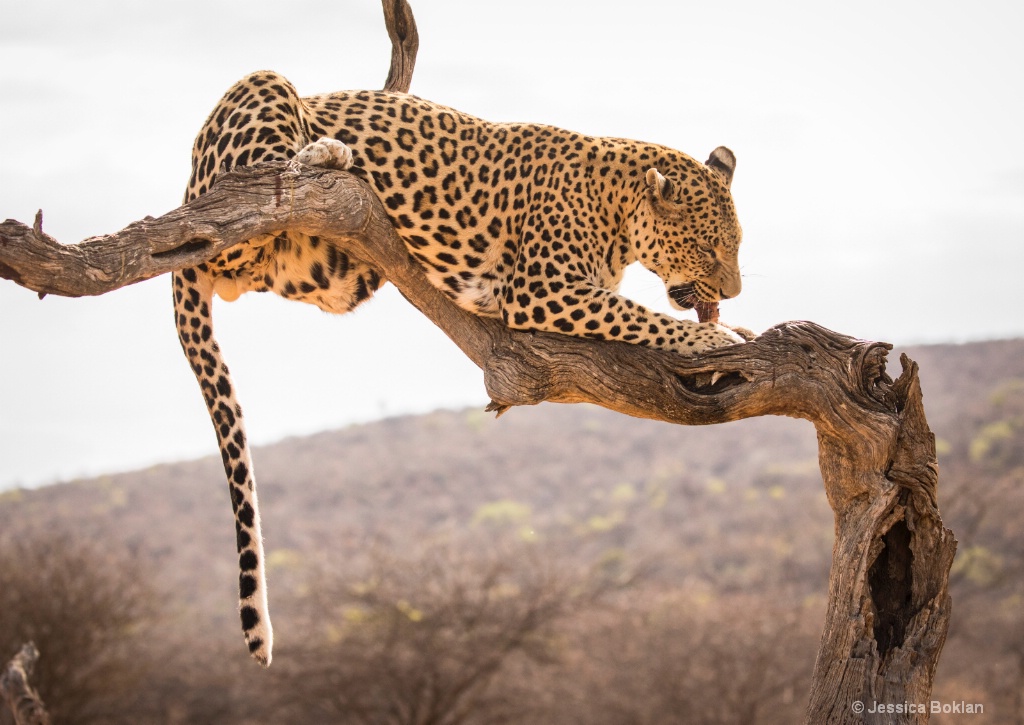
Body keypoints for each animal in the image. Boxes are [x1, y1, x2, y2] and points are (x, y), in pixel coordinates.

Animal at [174, 70, 753, 663]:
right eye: (709, 249)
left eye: (737, 245)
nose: (732, 291)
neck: (617, 205)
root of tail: (187, 180)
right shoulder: (541, 289)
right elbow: (639, 315)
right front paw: (716, 335)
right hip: (258, 103)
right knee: (247, 201)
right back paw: (326, 152)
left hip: (338, 276)